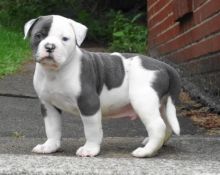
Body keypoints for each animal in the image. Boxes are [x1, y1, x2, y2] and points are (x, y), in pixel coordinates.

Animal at [23, 14, 180, 157]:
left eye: (65, 39)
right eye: (38, 35)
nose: (50, 46)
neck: (55, 72)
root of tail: (164, 66)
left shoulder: (88, 103)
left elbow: (91, 129)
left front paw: (90, 149)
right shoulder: (48, 105)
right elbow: (52, 128)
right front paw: (49, 146)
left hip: (143, 100)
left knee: (158, 126)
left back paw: (147, 151)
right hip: (161, 104)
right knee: (167, 125)